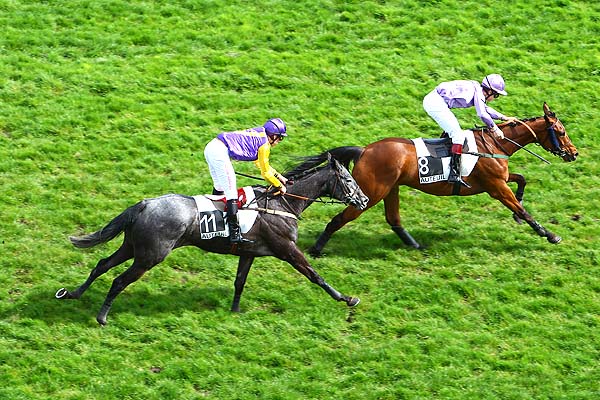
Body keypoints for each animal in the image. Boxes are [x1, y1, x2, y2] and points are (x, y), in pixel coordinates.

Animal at [55, 155, 370, 326]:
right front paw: (347, 298)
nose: (364, 200)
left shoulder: (249, 252)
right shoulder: (287, 249)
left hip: (132, 247)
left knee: (101, 264)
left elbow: (240, 281)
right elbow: (314, 275)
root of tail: (144, 204)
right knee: (119, 280)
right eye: (349, 180)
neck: (283, 204)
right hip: (150, 255)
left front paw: (235, 310)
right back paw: (102, 317)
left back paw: (73, 293)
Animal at [308, 101, 580, 255]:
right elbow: (523, 208)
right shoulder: (496, 187)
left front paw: (519, 215)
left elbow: (521, 179)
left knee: (393, 219)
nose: (574, 153)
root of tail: (364, 150)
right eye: (561, 132)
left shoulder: (499, 179)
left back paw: (416, 246)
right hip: (371, 192)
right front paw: (549, 234)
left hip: (390, 188)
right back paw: (315, 250)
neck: (495, 143)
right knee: (339, 219)